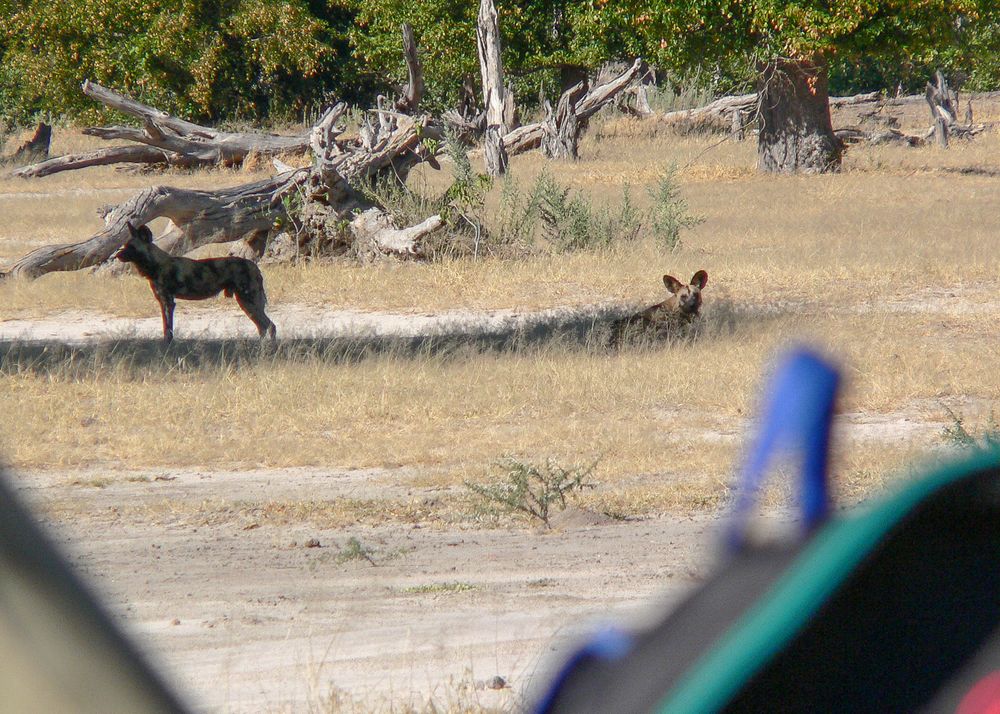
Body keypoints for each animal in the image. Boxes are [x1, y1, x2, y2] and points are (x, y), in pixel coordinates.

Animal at [115, 224, 276, 344]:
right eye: (125, 245)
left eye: (131, 247)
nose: (117, 255)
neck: (156, 265)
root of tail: (253, 265)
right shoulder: (163, 302)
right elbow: (166, 327)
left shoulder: (168, 302)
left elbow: (168, 329)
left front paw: (168, 346)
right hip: (246, 303)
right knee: (263, 327)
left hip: (248, 301)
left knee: (270, 326)